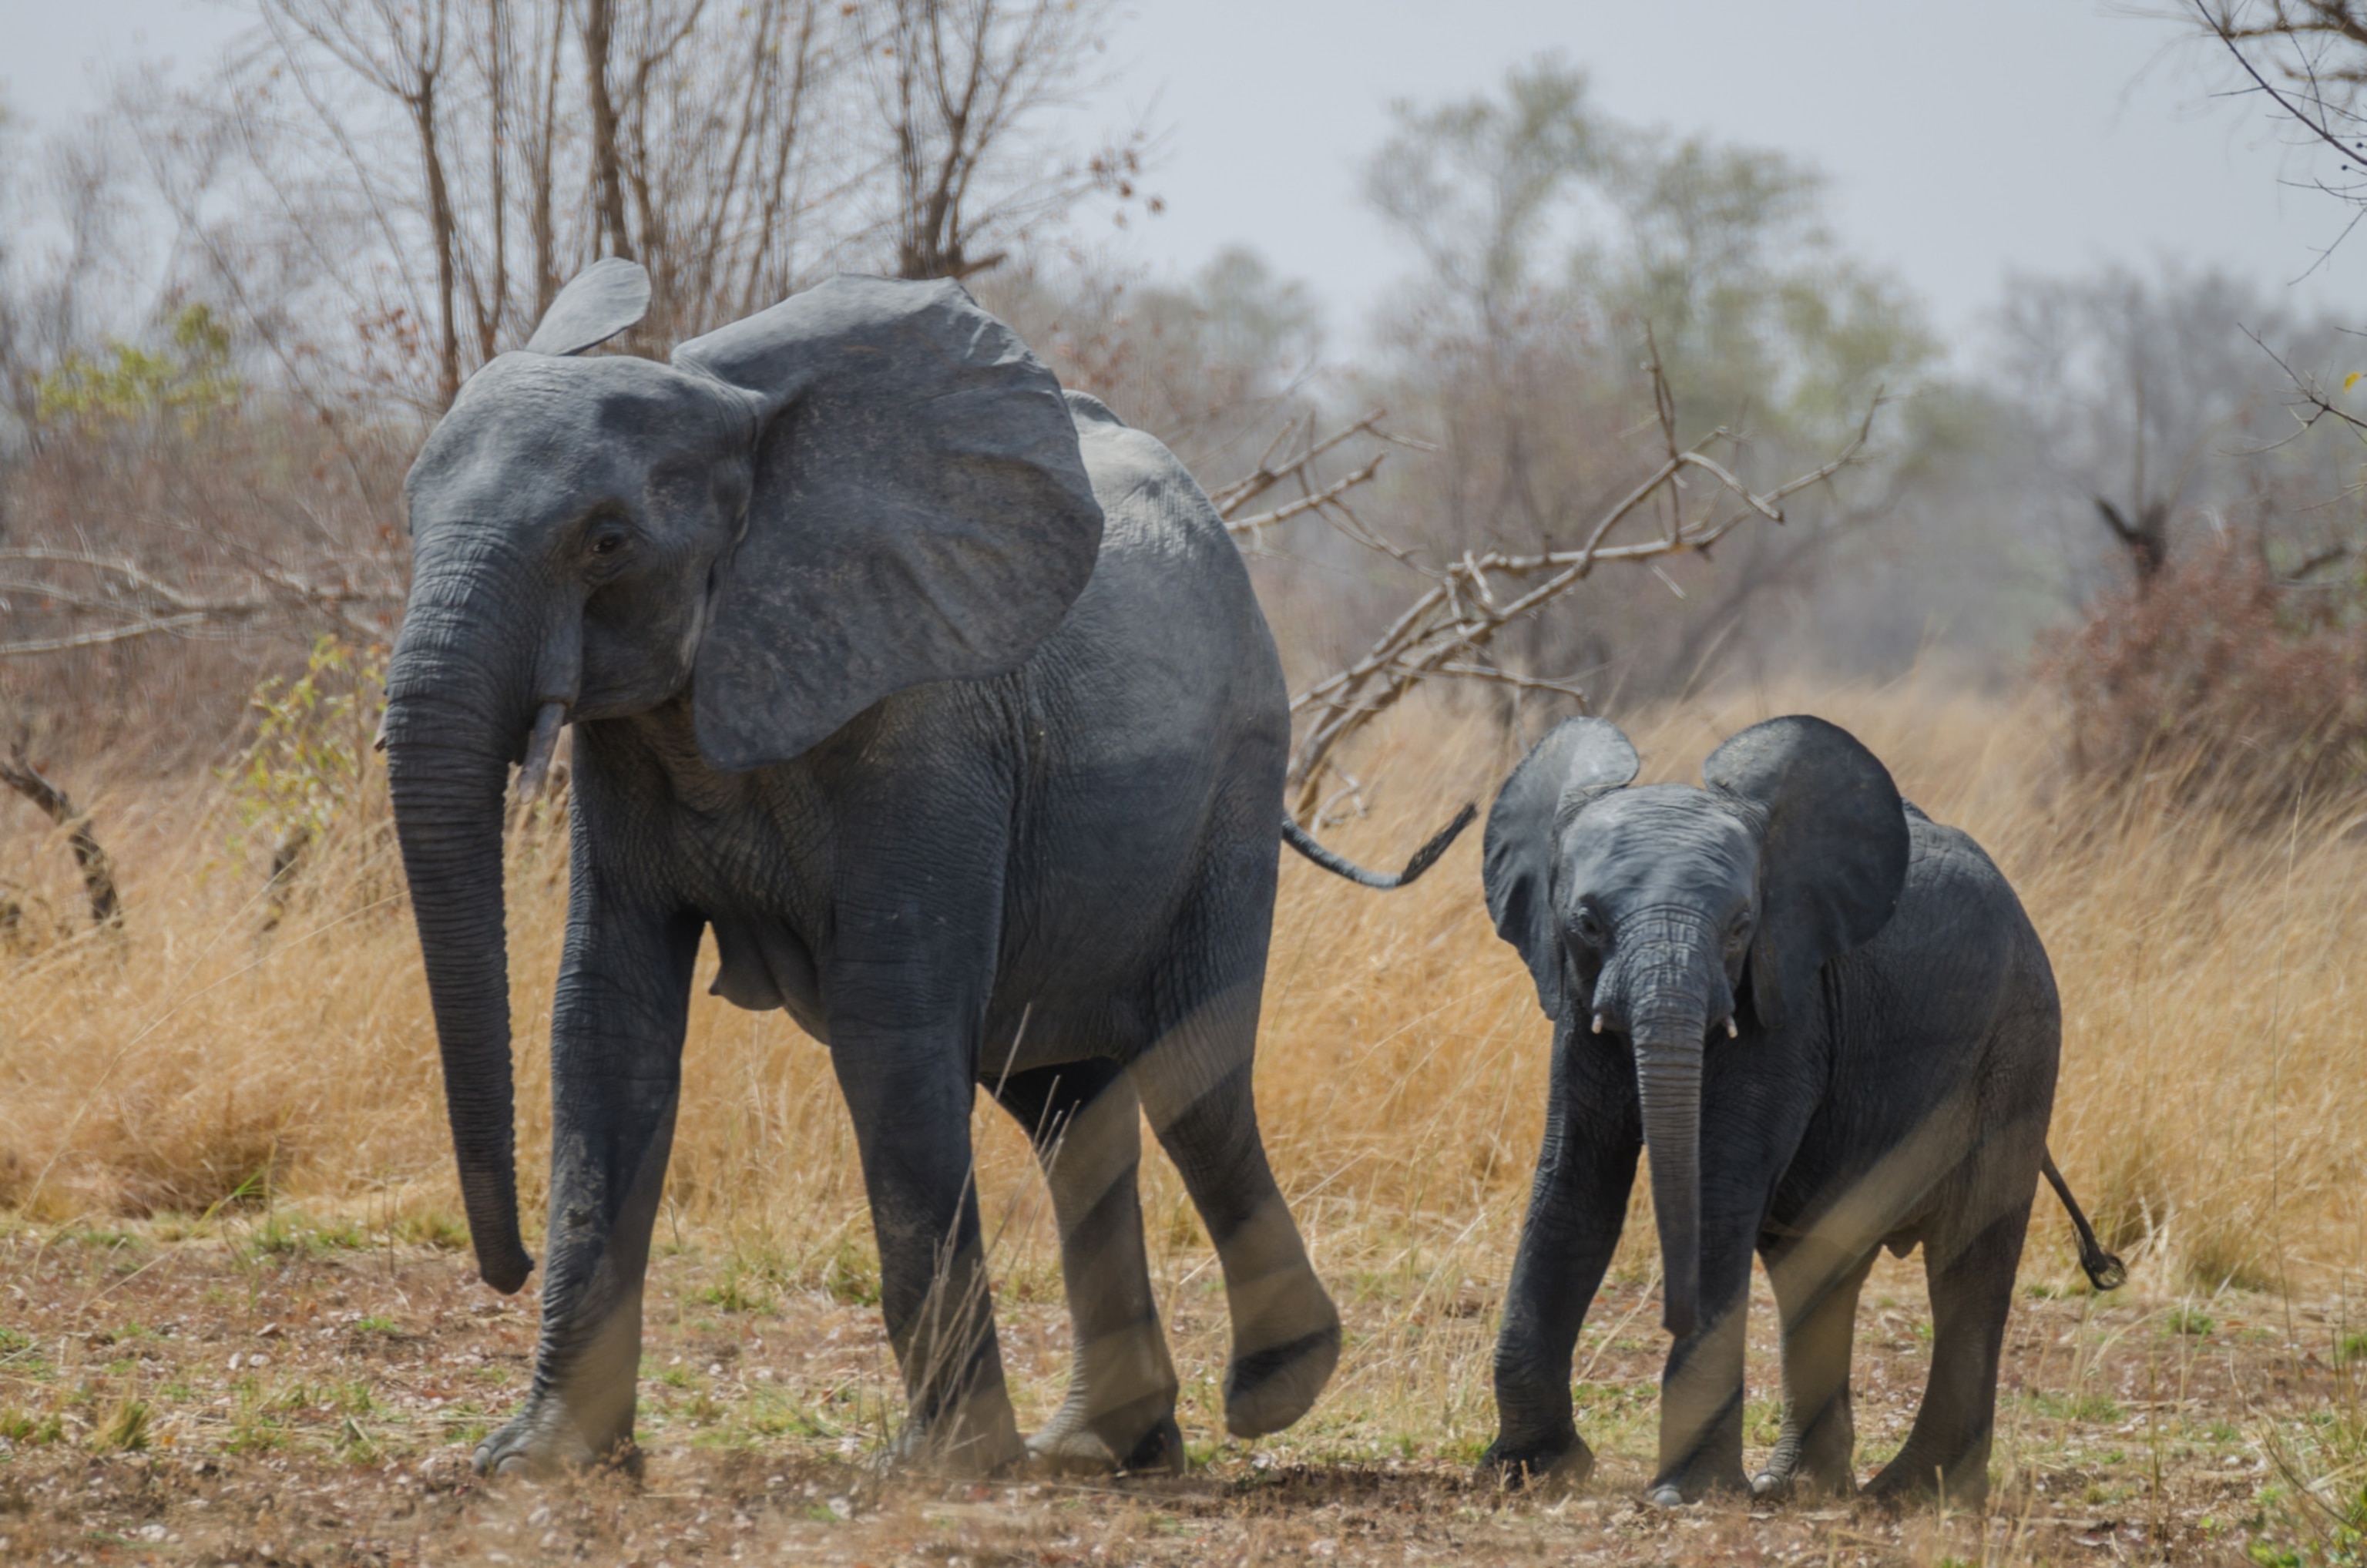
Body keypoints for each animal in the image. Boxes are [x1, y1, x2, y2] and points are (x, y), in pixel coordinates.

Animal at [380, 260, 1470, 1479]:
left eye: (607, 540)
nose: (506, 1265)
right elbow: (606, 1021)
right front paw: (543, 1460)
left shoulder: (927, 721)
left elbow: (889, 1022)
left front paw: (940, 1466)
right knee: (1065, 1103)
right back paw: (1102, 1443)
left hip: (1233, 777)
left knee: (1193, 1077)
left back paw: (1274, 1390)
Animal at [1477, 714, 2122, 1508]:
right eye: (1588, 923)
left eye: (1740, 926)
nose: (1670, 1314)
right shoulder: (1574, 998)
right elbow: (1573, 1184)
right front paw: (1528, 1470)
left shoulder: (1789, 1003)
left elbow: (1720, 1187)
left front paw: (1685, 1494)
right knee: (1814, 1266)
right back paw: (1803, 1487)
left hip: (2020, 1044)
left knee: (1968, 1263)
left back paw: (1916, 1496)